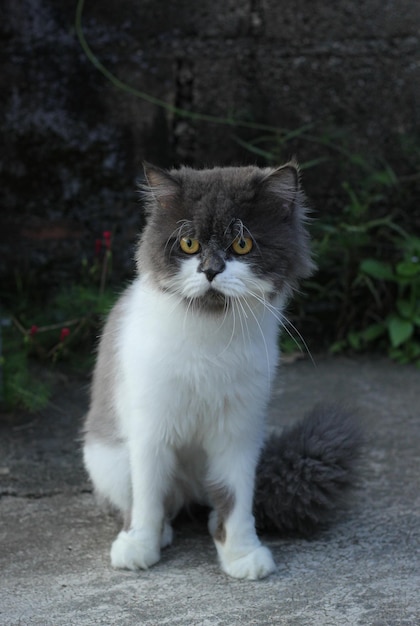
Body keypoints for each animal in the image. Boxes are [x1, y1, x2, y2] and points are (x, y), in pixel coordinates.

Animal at [83, 162, 360, 580]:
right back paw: (158, 532)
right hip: (106, 459)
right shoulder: (150, 429)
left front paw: (241, 553)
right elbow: (147, 496)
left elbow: (235, 498)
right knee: (152, 500)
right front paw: (140, 545)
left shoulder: (238, 432)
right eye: (188, 245)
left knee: (211, 502)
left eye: (242, 245)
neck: (210, 340)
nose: (211, 271)